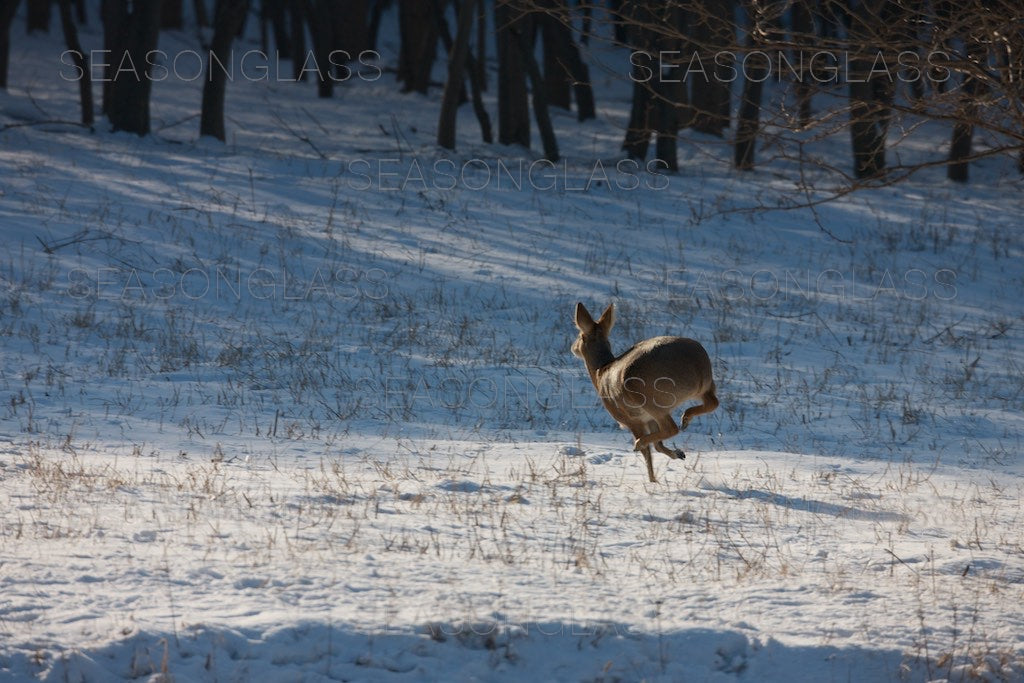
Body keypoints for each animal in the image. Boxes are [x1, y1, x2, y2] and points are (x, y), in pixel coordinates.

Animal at [569, 301, 720, 483]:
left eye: (579, 336)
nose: (572, 348)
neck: (601, 370)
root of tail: (696, 369)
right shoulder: (648, 419)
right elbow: (658, 445)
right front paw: (678, 454)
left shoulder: (632, 420)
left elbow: (648, 451)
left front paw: (652, 480)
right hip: (704, 387)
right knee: (713, 403)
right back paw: (686, 419)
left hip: (649, 398)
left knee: (671, 428)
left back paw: (644, 441)